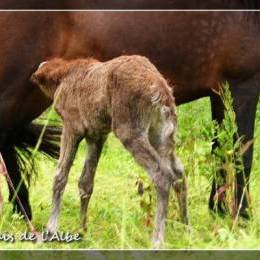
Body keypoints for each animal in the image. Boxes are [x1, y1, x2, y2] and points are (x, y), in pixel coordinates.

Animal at [0, 0, 260, 219]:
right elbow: (243, 155)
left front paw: (218, 211)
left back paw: (23, 212)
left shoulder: (220, 92)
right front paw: (242, 217)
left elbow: (221, 151)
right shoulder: (244, 85)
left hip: (29, 93)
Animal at [31, 55, 188, 248]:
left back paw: (157, 240)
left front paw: (51, 229)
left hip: (129, 131)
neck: (60, 78)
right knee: (178, 172)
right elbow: (85, 183)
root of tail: (161, 90)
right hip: (161, 134)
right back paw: (186, 229)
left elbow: (60, 176)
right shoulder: (97, 135)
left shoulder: (72, 126)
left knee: (163, 175)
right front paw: (82, 229)